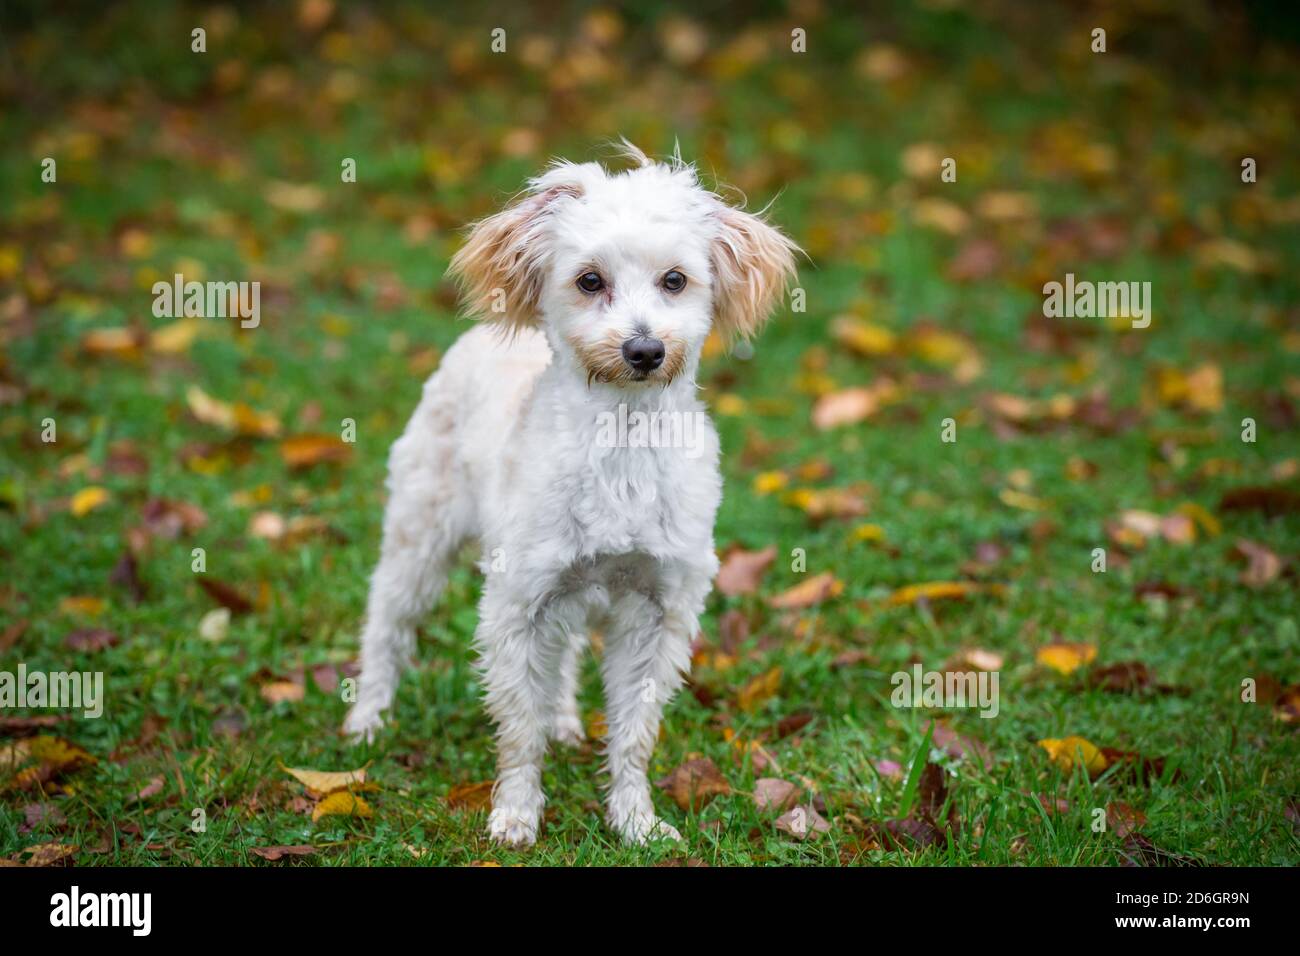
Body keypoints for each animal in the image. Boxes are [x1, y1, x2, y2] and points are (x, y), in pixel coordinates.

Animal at [343, 140, 790, 842]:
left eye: (675, 280)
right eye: (589, 281)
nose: (644, 350)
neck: (622, 443)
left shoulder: (659, 611)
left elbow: (634, 734)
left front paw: (635, 820)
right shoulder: (516, 605)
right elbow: (518, 729)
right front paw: (515, 814)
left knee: (566, 655)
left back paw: (564, 720)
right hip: (420, 539)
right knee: (387, 624)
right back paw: (368, 719)